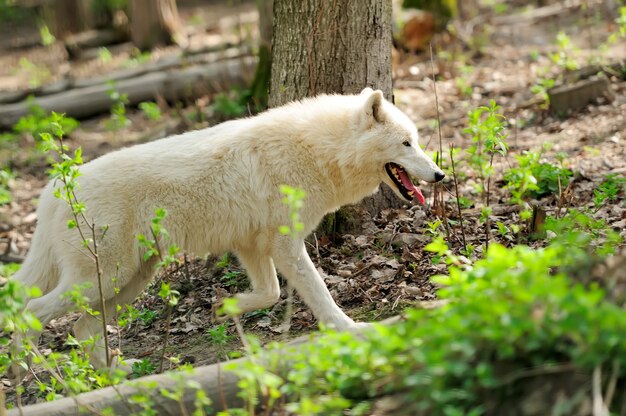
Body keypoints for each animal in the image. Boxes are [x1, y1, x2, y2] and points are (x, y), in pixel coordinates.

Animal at [8, 87, 438, 370]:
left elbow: (269, 292)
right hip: (105, 279)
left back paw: (112, 372)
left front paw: (224, 307)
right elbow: (319, 295)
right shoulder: (285, 246)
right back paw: (31, 368)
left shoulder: (251, 245)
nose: (440, 174)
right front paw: (350, 328)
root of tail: (52, 190)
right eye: (406, 144)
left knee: (81, 328)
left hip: (126, 282)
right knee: (31, 309)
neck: (317, 150)